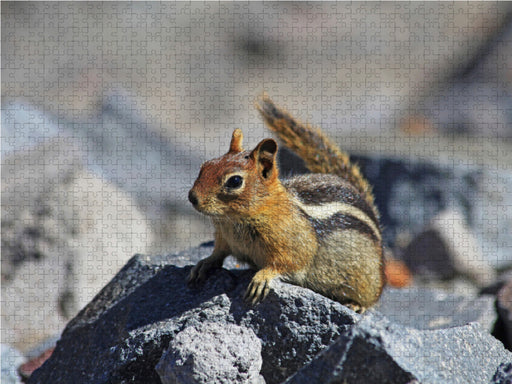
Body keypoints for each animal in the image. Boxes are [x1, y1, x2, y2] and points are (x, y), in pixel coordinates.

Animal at [188, 95, 384, 312]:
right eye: (205, 166)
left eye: (235, 181)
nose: (192, 197)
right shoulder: (224, 237)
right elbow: (219, 253)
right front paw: (204, 263)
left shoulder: (294, 244)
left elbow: (288, 263)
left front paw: (262, 278)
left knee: (372, 298)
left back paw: (356, 305)